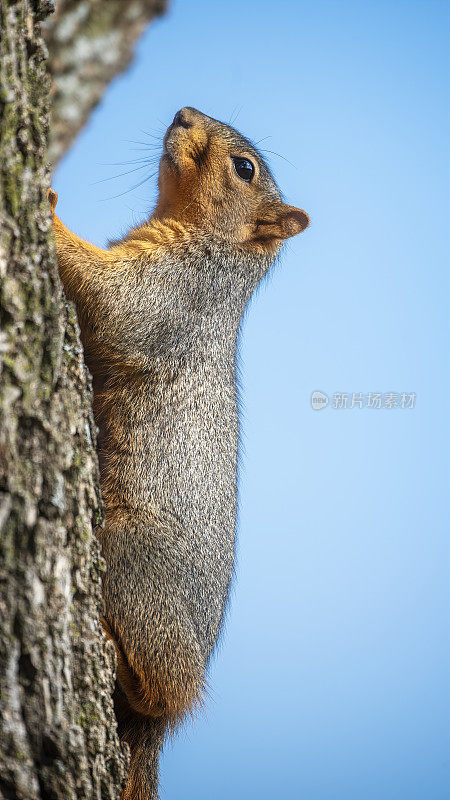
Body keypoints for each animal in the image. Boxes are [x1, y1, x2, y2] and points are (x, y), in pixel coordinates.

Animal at [48, 108, 310, 800]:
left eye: (245, 168)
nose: (184, 113)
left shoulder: (175, 294)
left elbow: (112, 300)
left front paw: (47, 208)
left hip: (130, 555)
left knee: (154, 688)